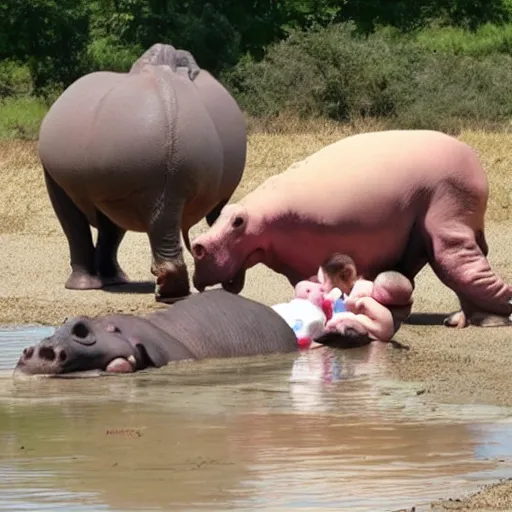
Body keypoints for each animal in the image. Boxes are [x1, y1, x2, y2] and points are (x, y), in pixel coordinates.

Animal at [191, 130, 512, 330]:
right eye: (222, 217)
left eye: (237, 223)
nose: (197, 245)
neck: (262, 222)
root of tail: (476, 163)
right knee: (465, 264)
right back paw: (462, 319)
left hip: (448, 212)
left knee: (459, 265)